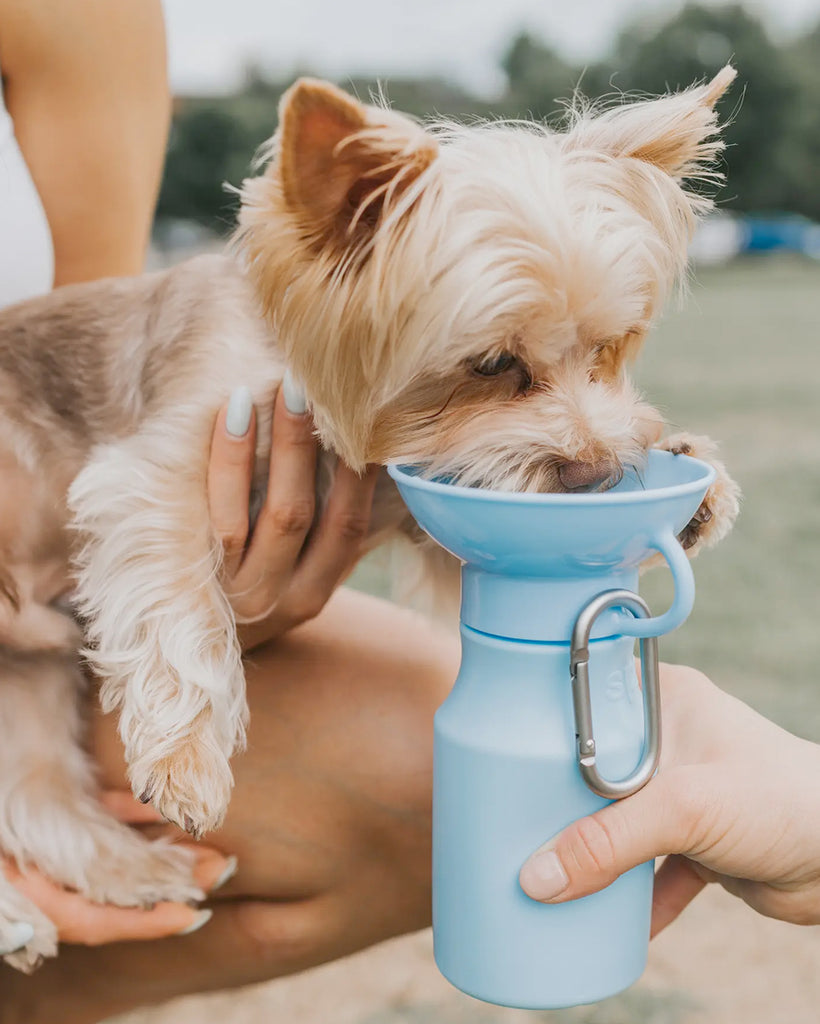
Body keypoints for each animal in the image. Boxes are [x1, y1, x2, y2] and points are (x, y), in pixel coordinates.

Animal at [0, 72, 737, 966]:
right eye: (491, 365)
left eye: (608, 349)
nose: (596, 472)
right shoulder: (158, 472)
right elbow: (181, 609)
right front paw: (186, 766)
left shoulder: (442, 505)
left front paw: (691, 482)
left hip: (29, 669)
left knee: (33, 791)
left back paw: (127, 872)